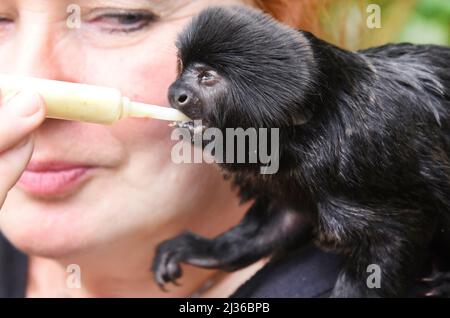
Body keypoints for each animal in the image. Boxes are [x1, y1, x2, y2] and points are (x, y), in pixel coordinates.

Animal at [152, 5, 450, 298]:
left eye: (207, 77)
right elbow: (281, 223)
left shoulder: (361, 163)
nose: (175, 92)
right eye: (184, 68)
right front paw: (204, 250)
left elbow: (395, 238)